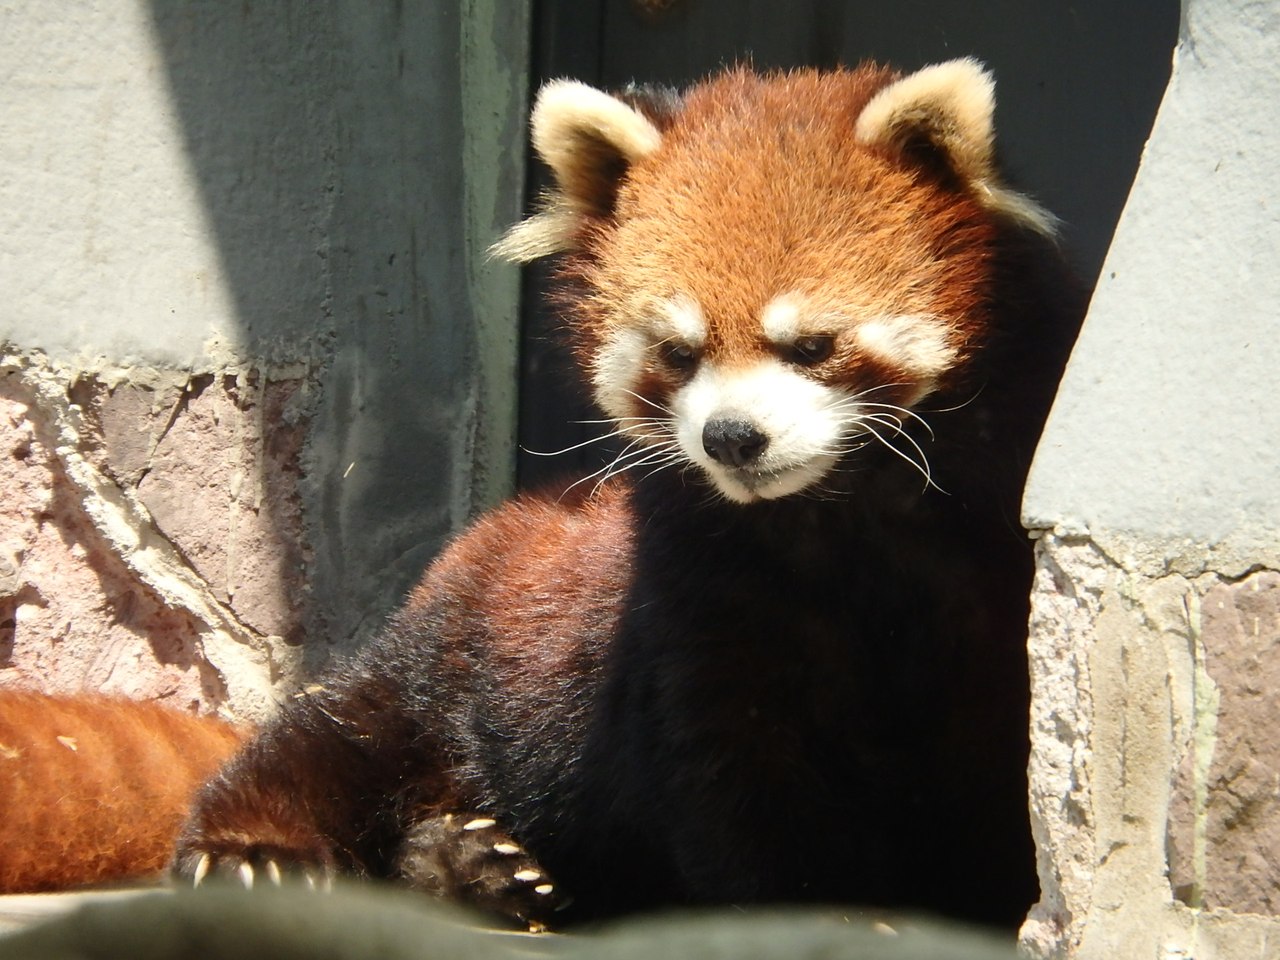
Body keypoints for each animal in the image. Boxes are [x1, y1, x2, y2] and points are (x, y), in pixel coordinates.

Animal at [172, 62, 1080, 931]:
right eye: (679, 353)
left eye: (812, 346)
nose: (732, 436)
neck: (839, 513)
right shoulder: (697, 603)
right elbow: (732, 773)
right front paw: (811, 912)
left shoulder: (985, 598)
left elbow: (990, 776)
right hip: (453, 645)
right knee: (344, 733)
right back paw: (255, 848)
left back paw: (465, 867)